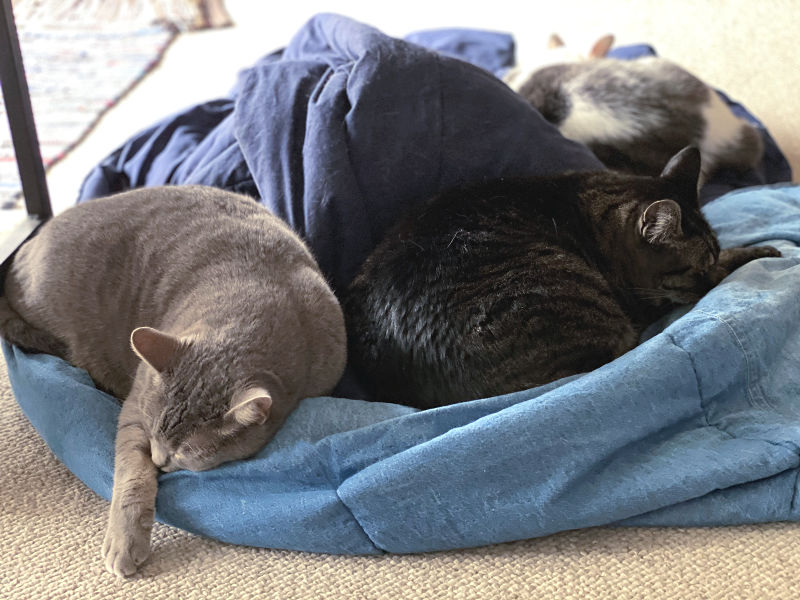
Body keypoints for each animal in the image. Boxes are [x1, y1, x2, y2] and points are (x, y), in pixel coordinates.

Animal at [0, 184, 346, 576]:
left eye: (188, 452)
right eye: (154, 434)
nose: (160, 459)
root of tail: (24, 250)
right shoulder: (135, 410)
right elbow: (132, 472)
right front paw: (125, 541)